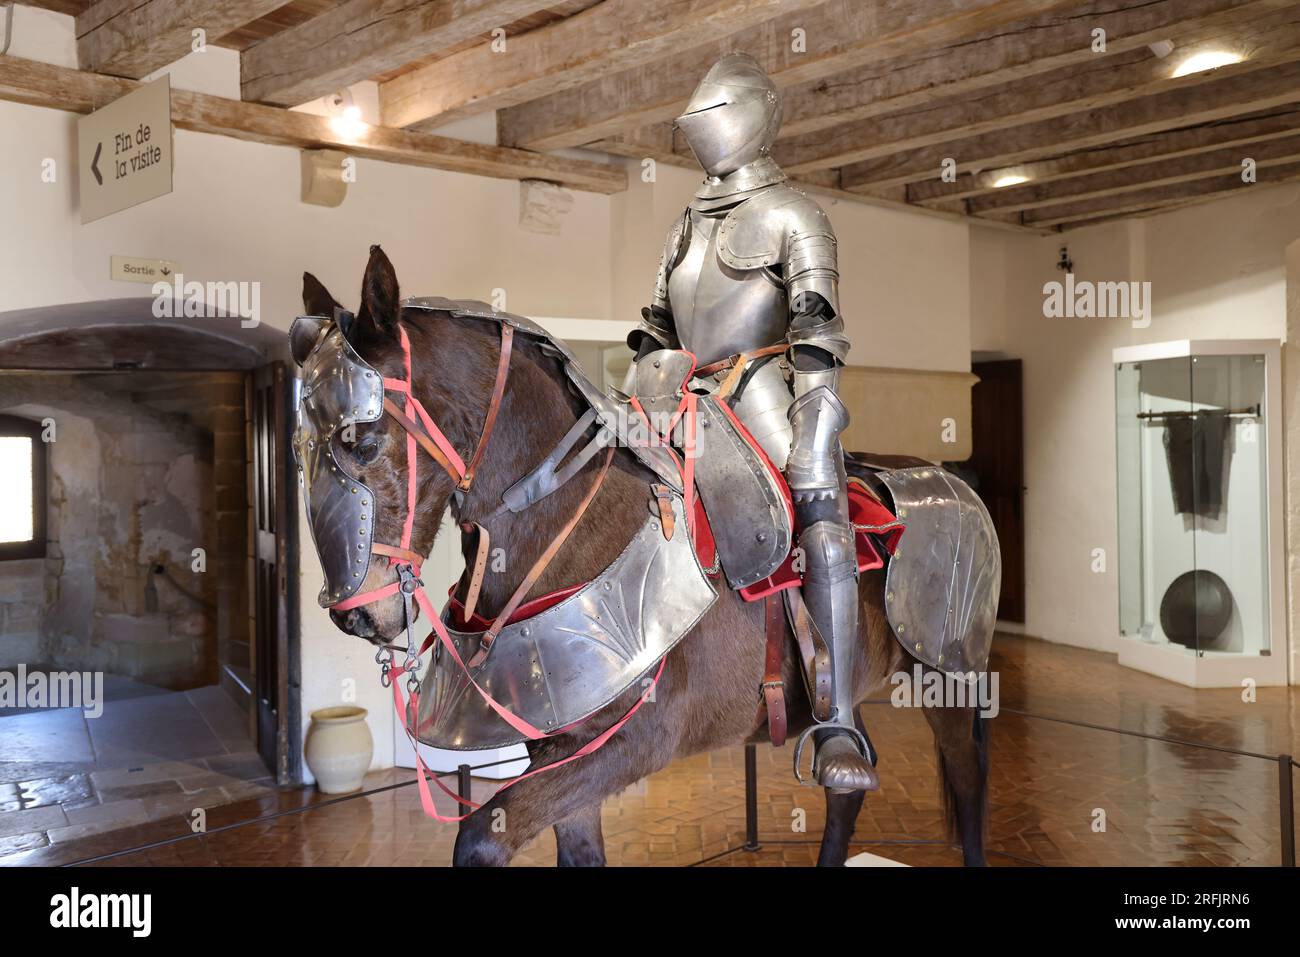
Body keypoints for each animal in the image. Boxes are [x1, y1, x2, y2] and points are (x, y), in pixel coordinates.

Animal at [299, 247, 987, 868]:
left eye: (360, 440)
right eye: (302, 447)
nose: (354, 616)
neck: (572, 523)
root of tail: (942, 476)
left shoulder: (633, 744)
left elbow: (479, 838)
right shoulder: (563, 750)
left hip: (949, 676)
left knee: (969, 787)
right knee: (848, 778)